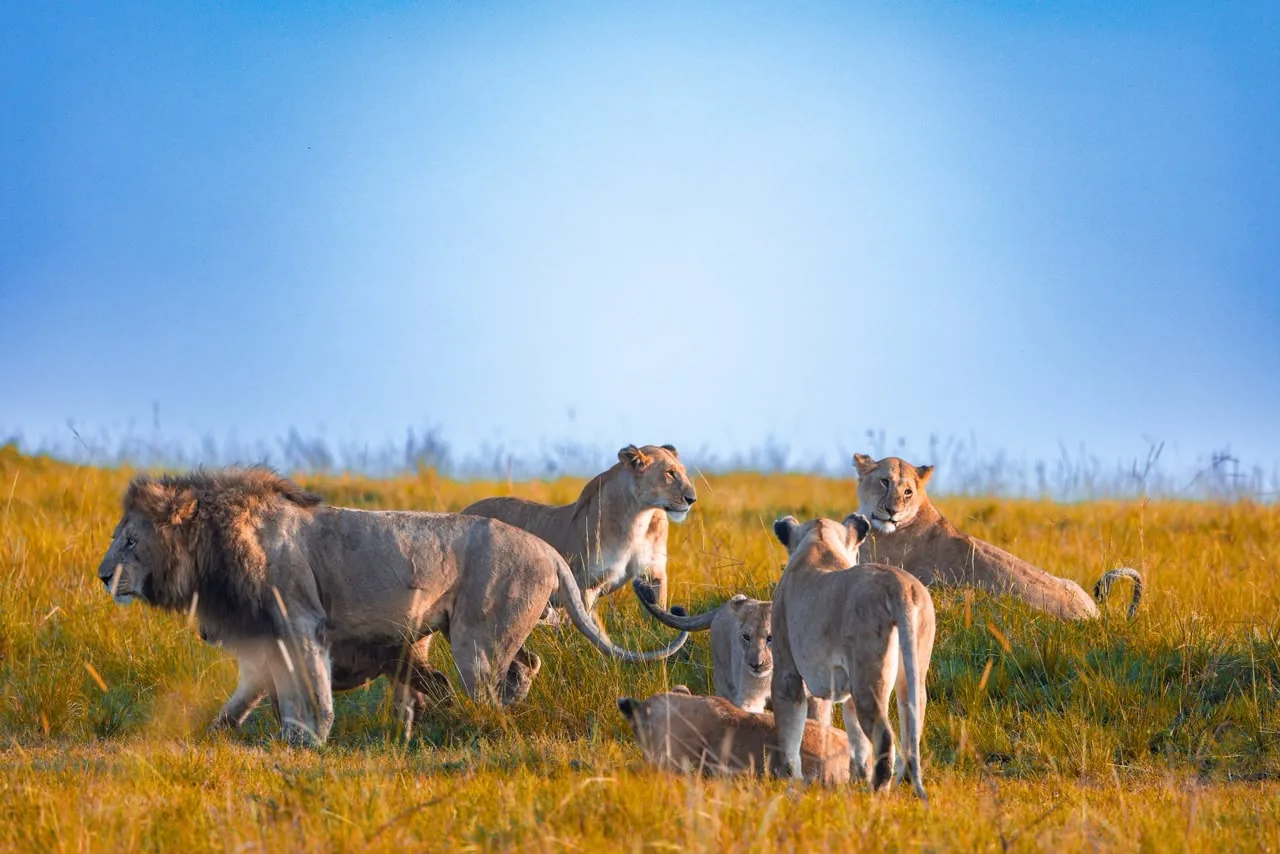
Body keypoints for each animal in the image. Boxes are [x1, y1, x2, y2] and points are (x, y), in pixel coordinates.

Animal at [94, 468, 687, 746]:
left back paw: (481, 723)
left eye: (129, 540)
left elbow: (311, 692)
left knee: (486, 693)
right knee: (526, 665)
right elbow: (250, 697)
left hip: (475, 640)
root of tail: (548, 550)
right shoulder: (270, 636)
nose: (102, 575)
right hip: (479, 631)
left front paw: (312, 742)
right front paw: (228, 736)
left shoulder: (303, 623)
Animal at [463, 444, 697, 615]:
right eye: (670, 473)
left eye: (684, 472)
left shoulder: (654, 573)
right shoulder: (585, 584)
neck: (639, 517)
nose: (692, 499)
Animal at [632, 579, 831, 723]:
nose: (755, 664)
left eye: (770, 638)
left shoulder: (817, 699)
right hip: (723, 684)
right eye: (746, 637)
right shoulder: (748, 698)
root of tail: (721, 607)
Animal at [771, 513, 935, 799]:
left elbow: (791, 730)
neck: (820, 542)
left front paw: (790, 780)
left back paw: (877, 792)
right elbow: (856, 738)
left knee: (884, 735)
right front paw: (858, 777)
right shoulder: (846, 687)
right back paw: (901, 783)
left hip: (868, 678)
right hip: (909, 670)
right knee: (912, 724)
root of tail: (900, 586)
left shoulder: (786, 671)